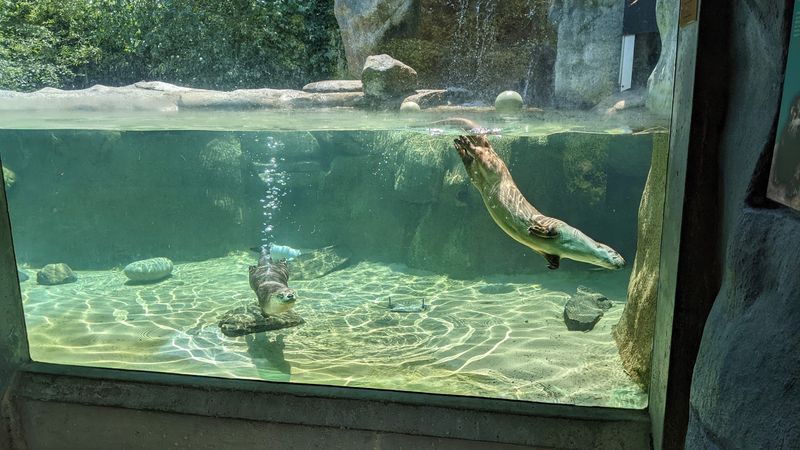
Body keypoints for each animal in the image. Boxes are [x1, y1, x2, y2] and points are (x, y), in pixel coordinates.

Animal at [452, 133, 625, 270]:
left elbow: (551, 257)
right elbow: (552, 229)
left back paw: (460, 147)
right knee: (479, 152)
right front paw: (537, 229)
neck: (572, 245)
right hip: (492, 165)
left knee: (471, 165)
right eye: (616, 253)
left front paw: (552, 264)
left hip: (478, 176)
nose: (624, 262)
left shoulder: (552, 251)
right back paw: (464, 141)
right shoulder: (562, 227)